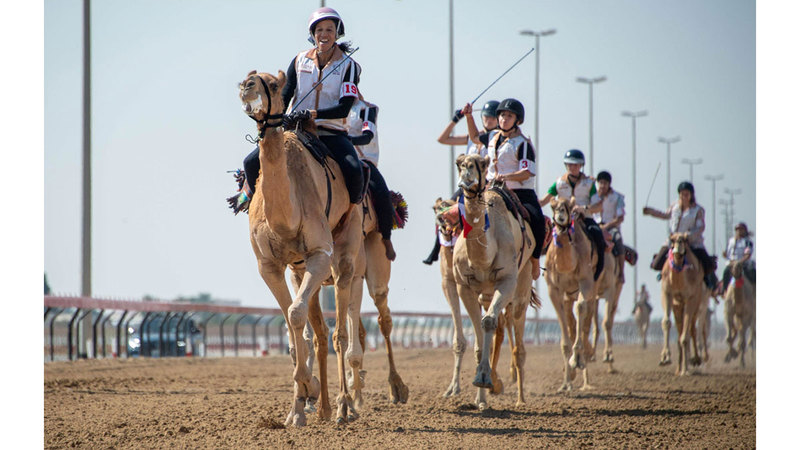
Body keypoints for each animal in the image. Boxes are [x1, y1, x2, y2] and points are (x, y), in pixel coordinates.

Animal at [236, 70, 364, 426]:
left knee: (339, 333)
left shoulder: (319, 255)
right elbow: (292, 328)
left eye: (272, 83)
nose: (246, 87)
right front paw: (297, 407)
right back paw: (322, 407)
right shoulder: (270, 265)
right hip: (300, 269)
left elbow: (295, 315)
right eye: (249, 77)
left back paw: (343, 407)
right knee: (317, 331)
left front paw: (309, 389)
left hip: (346, 252)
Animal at [454, 154, 536, 408]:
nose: (466, 178)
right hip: (485, 293)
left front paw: (483, 378)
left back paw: (520, 399)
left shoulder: (507, 281)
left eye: (481, 163)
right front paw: (481, 393)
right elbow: (480, 342)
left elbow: (489, 322)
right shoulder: (464, 287)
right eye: (459, 164)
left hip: (522, 284)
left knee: (518, 344)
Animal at [544, 197, 600, 390]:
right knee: (571, 321)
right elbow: (564, 324)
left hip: (593, 290)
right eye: (552, 206)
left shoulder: (586, 282)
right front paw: (566, 383)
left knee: (586, 322)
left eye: (568, 205)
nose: (560, 213)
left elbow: (581, 309)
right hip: (568, 296)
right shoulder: (554, 289)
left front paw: (576, 360)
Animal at [660, 234, 704, 374]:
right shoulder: (667, 293)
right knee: (681, 330)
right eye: (672, 239)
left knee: (691, 329)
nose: (678, 245)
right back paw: (679, 368)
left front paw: (686, 370)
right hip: (678, 306)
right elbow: (666, 322)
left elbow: (685, 336)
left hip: (697, 300)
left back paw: (694, 360)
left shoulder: (691, 298)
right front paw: (665, 357)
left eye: (685, 239)